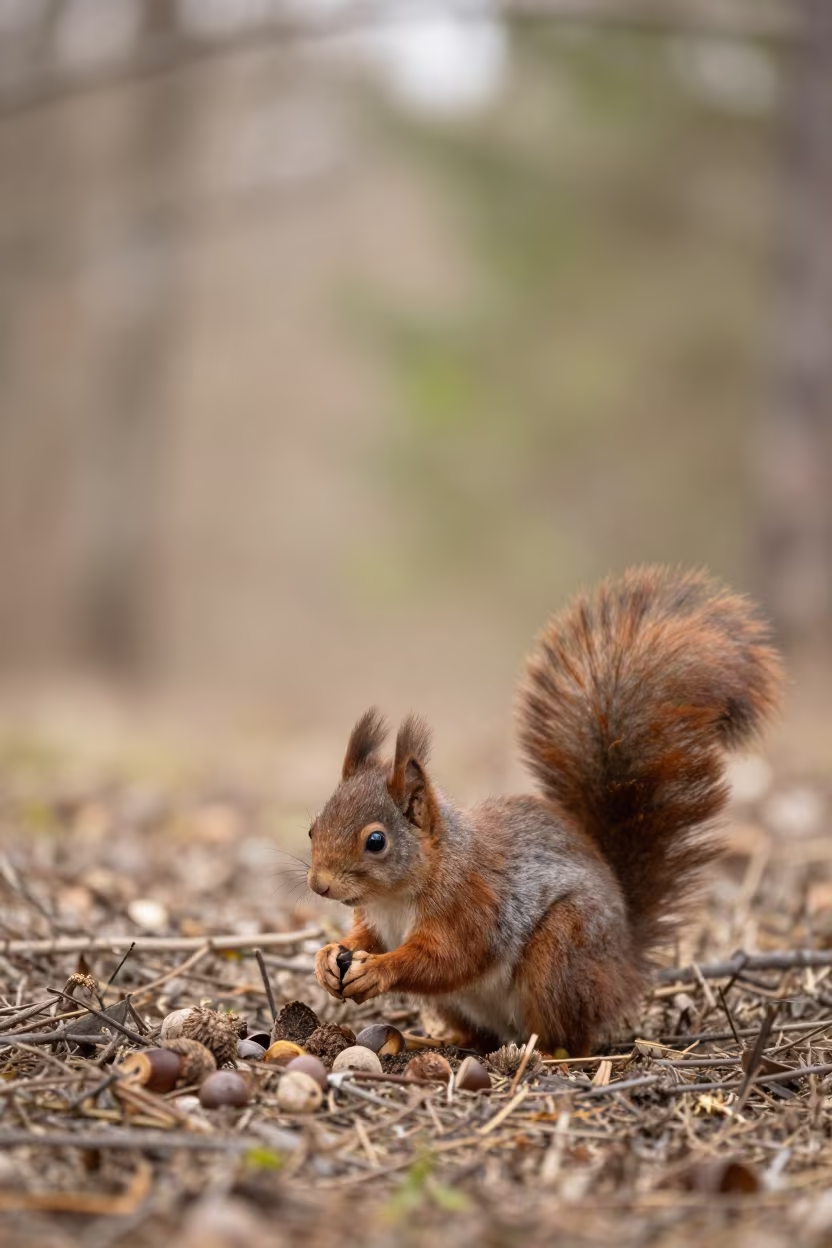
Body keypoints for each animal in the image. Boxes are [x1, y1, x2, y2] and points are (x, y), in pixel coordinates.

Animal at [308, 566, 783, 1055]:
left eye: (376, 841)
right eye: (311, 829)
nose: (319, 885)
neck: (399, 895)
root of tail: (626, 966)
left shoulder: (472, 906)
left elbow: (447, 958)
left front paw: (378, 970)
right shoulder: (377, 920)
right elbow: (365, 938)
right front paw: (328, 955)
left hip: (561, 955)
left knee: (567, 1036)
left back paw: (545, 1054)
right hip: (463, 1003)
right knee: (477, 1034)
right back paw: (434, 1039)